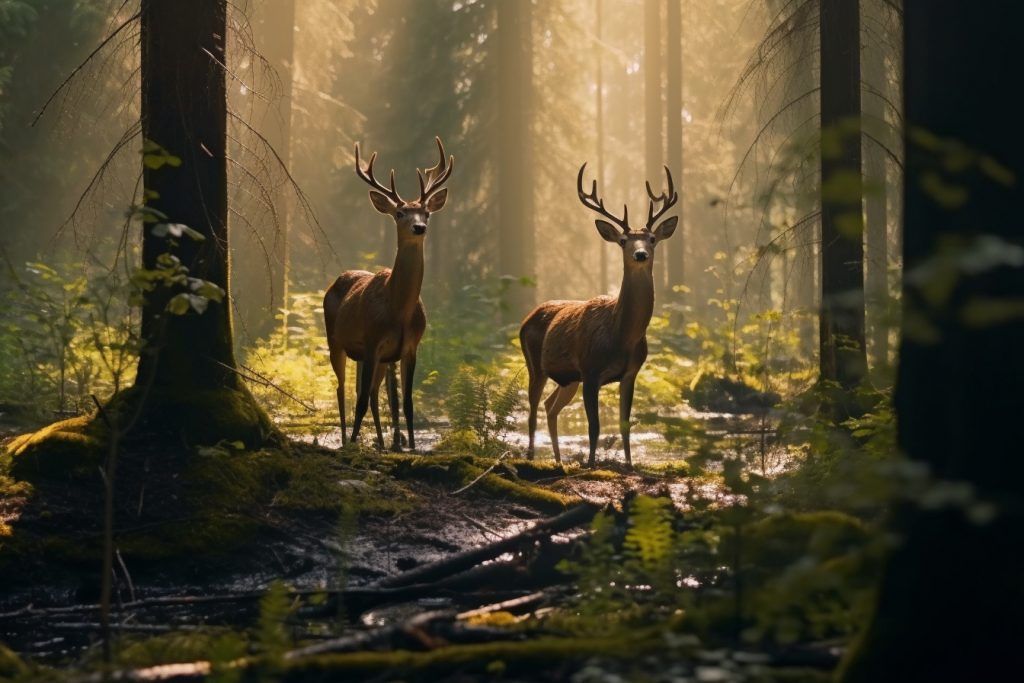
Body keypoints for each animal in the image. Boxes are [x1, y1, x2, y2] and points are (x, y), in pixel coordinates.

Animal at [323, 137, 453, 451]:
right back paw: (346, 439)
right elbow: (359, 401)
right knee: (342, 389)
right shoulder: (372, 341)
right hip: (335, 340)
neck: (399, 312)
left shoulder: (409, 347)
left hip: (371, 357)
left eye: (426, 212)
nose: (419, 227)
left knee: (369, 392)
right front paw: (354, 443)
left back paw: (381, 443)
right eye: (400, 213)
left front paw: (412, 446)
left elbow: (406, 402)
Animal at [520, 163, 678, 468]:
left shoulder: (630, 373)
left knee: (550, 406)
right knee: (532, 410)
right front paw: (591, 463)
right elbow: (594, 426)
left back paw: (558, 460)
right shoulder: (590, 370)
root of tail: (527, 318)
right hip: (535, 364)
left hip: (568, 378)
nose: (641, 254)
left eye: (652, 239)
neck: (621, 337)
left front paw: (629, 464)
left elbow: (625, 424)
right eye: (624, 240)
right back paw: (532, 457)